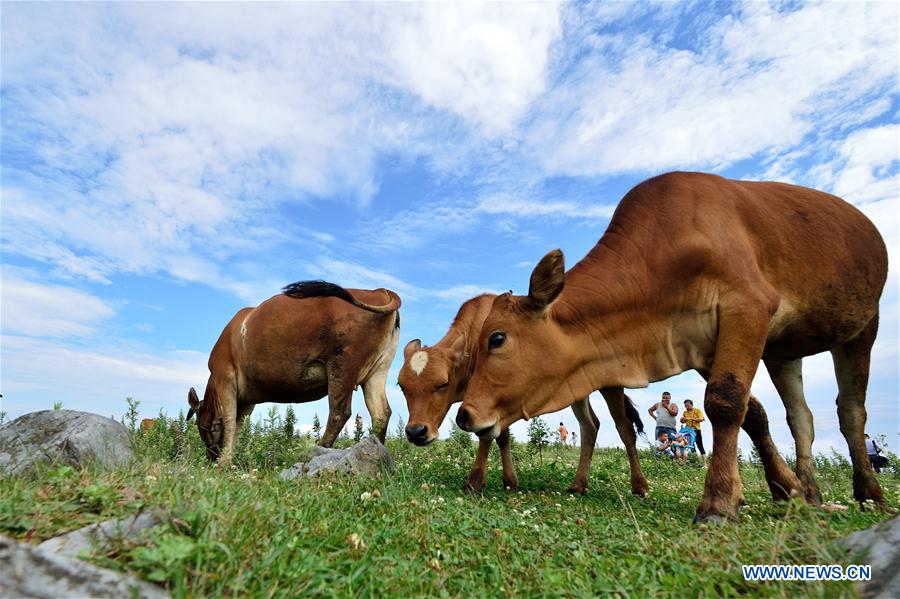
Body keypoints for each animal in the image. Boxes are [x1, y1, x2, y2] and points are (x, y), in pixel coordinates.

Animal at [187, 282, 400, 464]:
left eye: (200, 426)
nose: (211, 456)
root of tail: (379, 291)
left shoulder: (224, 376)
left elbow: (230, 421)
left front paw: (224, 463)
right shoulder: (247, 399)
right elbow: (239, 425)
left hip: (343, 365)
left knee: (339, 412)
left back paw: (317, 450)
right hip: (377, 371)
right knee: (381, 413)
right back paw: (377, 452)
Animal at [400, 292, 648, 494]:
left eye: (443, 383)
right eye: (402, 386)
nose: (415, 432)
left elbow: (486, 435)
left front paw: (474, 481)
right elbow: (502, 437)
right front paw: (509, 481)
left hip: (612, 384)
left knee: (624, 427)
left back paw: (639, 486)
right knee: (590, 425)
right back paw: (579, 485)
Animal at [460, 171, 888, 524]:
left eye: (496, 338)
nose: (465, 415)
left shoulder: (747, 307)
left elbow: (726, 401)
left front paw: (719, 502)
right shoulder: (700, 345)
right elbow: (754, 414)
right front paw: (789, 489)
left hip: (863, 326)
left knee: (851, 413)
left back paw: (871, 495)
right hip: (784, 351)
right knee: (801, 417)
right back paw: (813, 491)